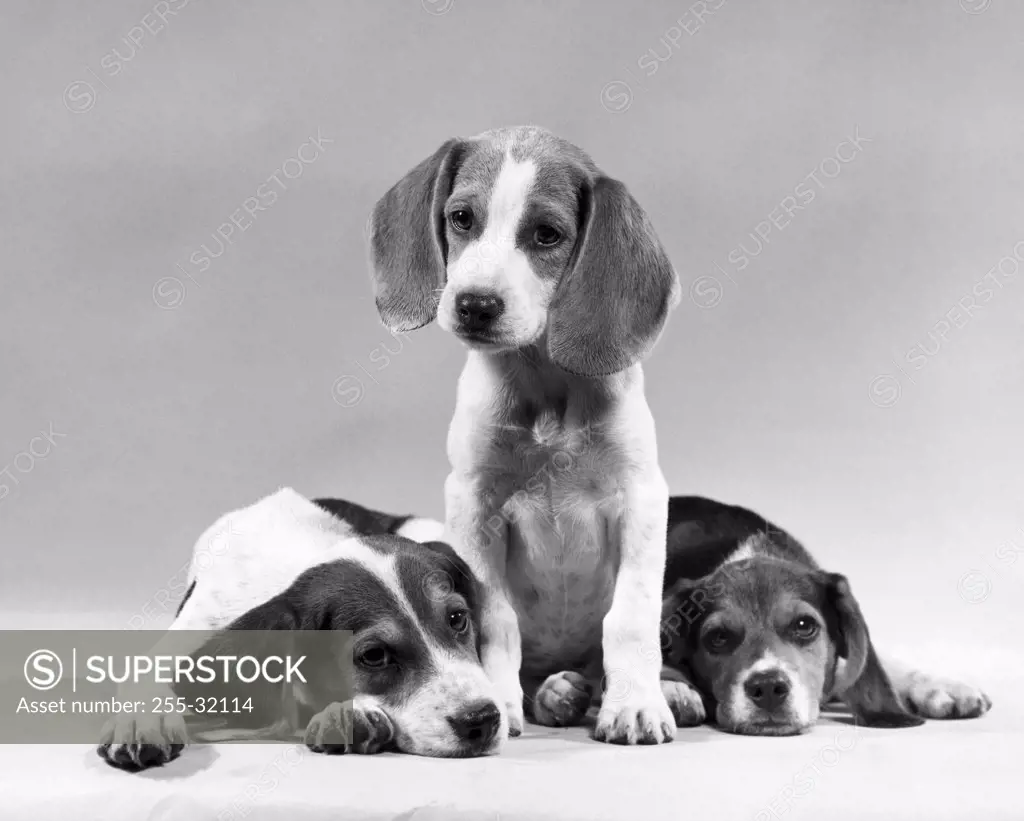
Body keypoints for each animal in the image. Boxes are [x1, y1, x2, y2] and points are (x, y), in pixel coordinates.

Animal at [96, 487, 503, 769]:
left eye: (457, 618)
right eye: (373, 656)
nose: (483, 721)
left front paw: (350, 714)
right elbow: (142, 675)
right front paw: (138, 722)